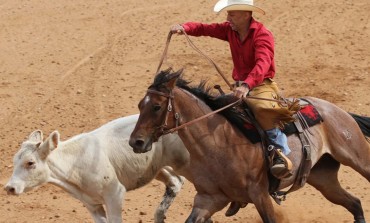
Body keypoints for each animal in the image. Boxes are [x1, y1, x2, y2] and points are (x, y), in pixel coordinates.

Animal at [5, 115, 191, 223]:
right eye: (14, 161)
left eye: (30, 162)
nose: (9, 187)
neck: (75, 162)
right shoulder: (92, 205)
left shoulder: (115, 195)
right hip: (158, 168)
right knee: (175, 182)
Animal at [129, 69, 370, 222]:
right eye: (140, 105)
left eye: (157, 107)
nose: (136, 142)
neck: (220, 144)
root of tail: (337, 111)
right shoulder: (208, 199)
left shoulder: (260, 195)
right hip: (323, 179)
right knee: (355, 204)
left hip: (357, 157)